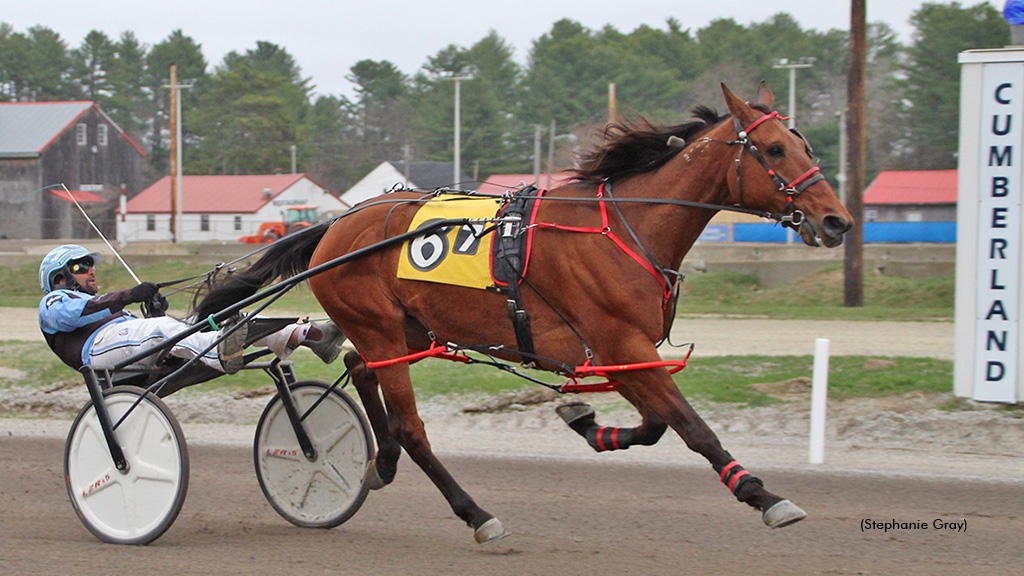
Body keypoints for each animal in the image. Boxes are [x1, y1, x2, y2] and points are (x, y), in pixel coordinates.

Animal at [197, 81, 847, 541]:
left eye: (806, 144)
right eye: (773, 148)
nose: (836, 220)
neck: (627, 228)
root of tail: (336, 224)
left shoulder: (617, 353)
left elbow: (656, 425)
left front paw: (587, 421)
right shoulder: (620, 343)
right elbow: (690, 426)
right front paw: (764, 496)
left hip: (407, 329)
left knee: (362, 371)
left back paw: (381, 463)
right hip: (381, 327)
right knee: (410, 424)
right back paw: (475, 513)